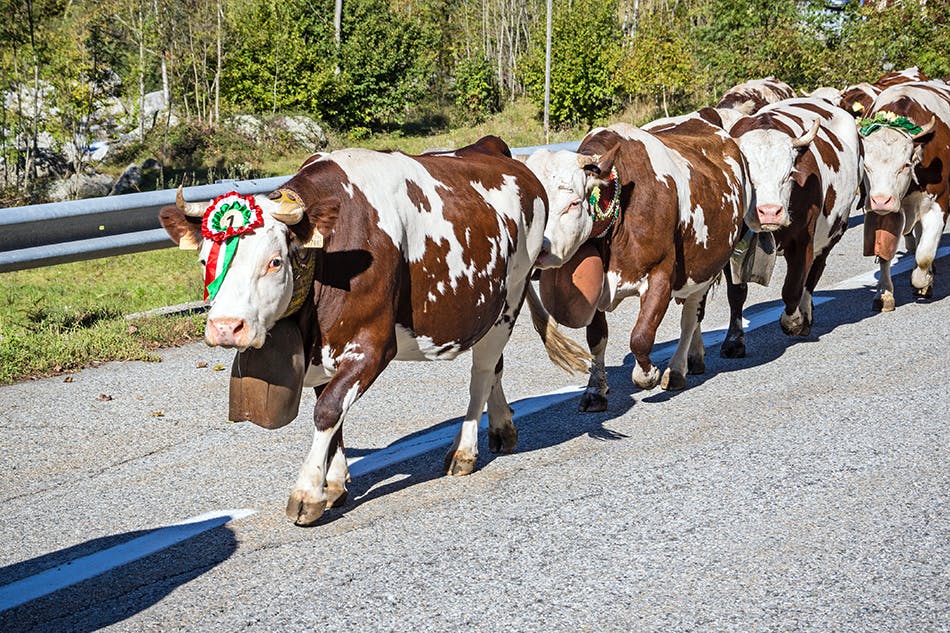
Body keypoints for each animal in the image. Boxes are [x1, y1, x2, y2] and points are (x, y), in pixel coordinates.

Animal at [157, 136, 592, 524]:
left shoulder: (373, 346)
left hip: (511, 296)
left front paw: (307, 492)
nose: (226, 327)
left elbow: (327, 410)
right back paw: (502, 427)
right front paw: (334, 482)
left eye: (275, 261)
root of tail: (493, 149)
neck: (328, 259)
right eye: (205, 260)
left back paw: (464, 452)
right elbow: (332, 412)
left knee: (482, 373)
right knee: (495, 367)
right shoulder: (324, 349)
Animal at [524, 110, 756, 410]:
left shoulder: (661, 275)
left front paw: (647, 374)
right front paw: (595, 390)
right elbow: (596, 339)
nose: (538, 250)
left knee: (693, 314)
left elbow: (641, 336)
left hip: (712, 261)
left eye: (574, 203)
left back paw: (678, 368)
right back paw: (694, 357)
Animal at [724, 97, 868, 350]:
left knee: (812, 276)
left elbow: (792, 288)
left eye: (789, 175)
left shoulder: (803, 241)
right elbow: (736, 293)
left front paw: (793, 322)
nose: (769, 212)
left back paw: (806, 315)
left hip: (831, 234)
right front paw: (734, 340)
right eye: (746, 177)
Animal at [860, 79, 948, 312]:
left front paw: (924, 282)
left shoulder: (939, 204)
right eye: (866, 166)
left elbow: (925, 255)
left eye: (905, 165)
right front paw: (884, 294)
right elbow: (883, 254)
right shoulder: (881, 213)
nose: (881, 200)